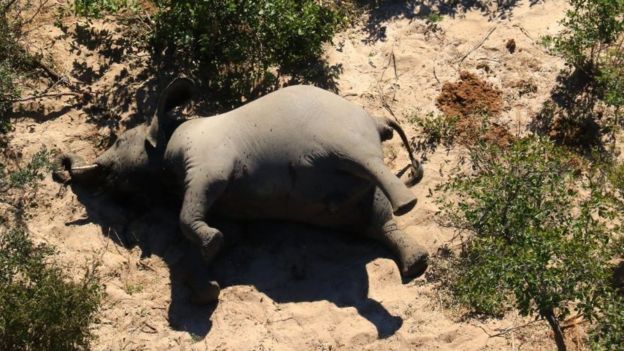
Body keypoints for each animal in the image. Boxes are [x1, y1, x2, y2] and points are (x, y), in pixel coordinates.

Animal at [56, 78, 428, 304]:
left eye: (120, 140)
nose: (62, 166)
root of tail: (377, 120)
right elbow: (220, 233)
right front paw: (206, 286)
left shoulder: (207, 161)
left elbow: (189, 212)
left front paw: (210, 247)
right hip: (354, 196)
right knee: (376, 220)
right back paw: (417, 264)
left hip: (345, 137)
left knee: (367, 166)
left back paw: (407, 205)